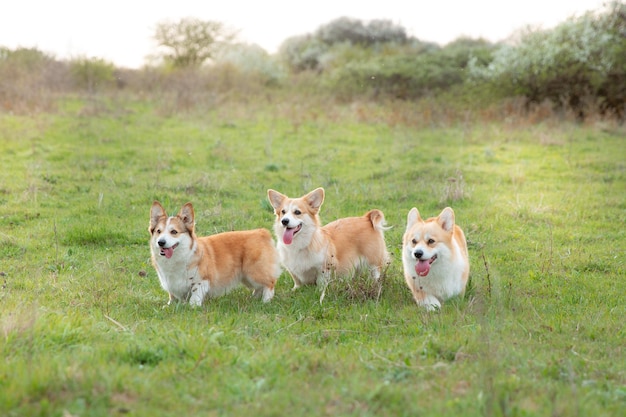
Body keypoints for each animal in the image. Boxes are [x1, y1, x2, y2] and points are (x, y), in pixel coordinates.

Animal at [147, 200, 280, 304]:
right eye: (158, 231)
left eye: (174, 232)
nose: (161, 242)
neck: (178, 258)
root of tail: (262, 232)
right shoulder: (170, 283)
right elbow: (172, 296)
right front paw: (170, 305)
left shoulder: (202, 281)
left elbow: (195, 296)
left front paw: (193, 307)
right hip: (246, 277)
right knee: (259, 288)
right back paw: (254, 299)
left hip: (253, 273)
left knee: (269, 283)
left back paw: (265, 301)